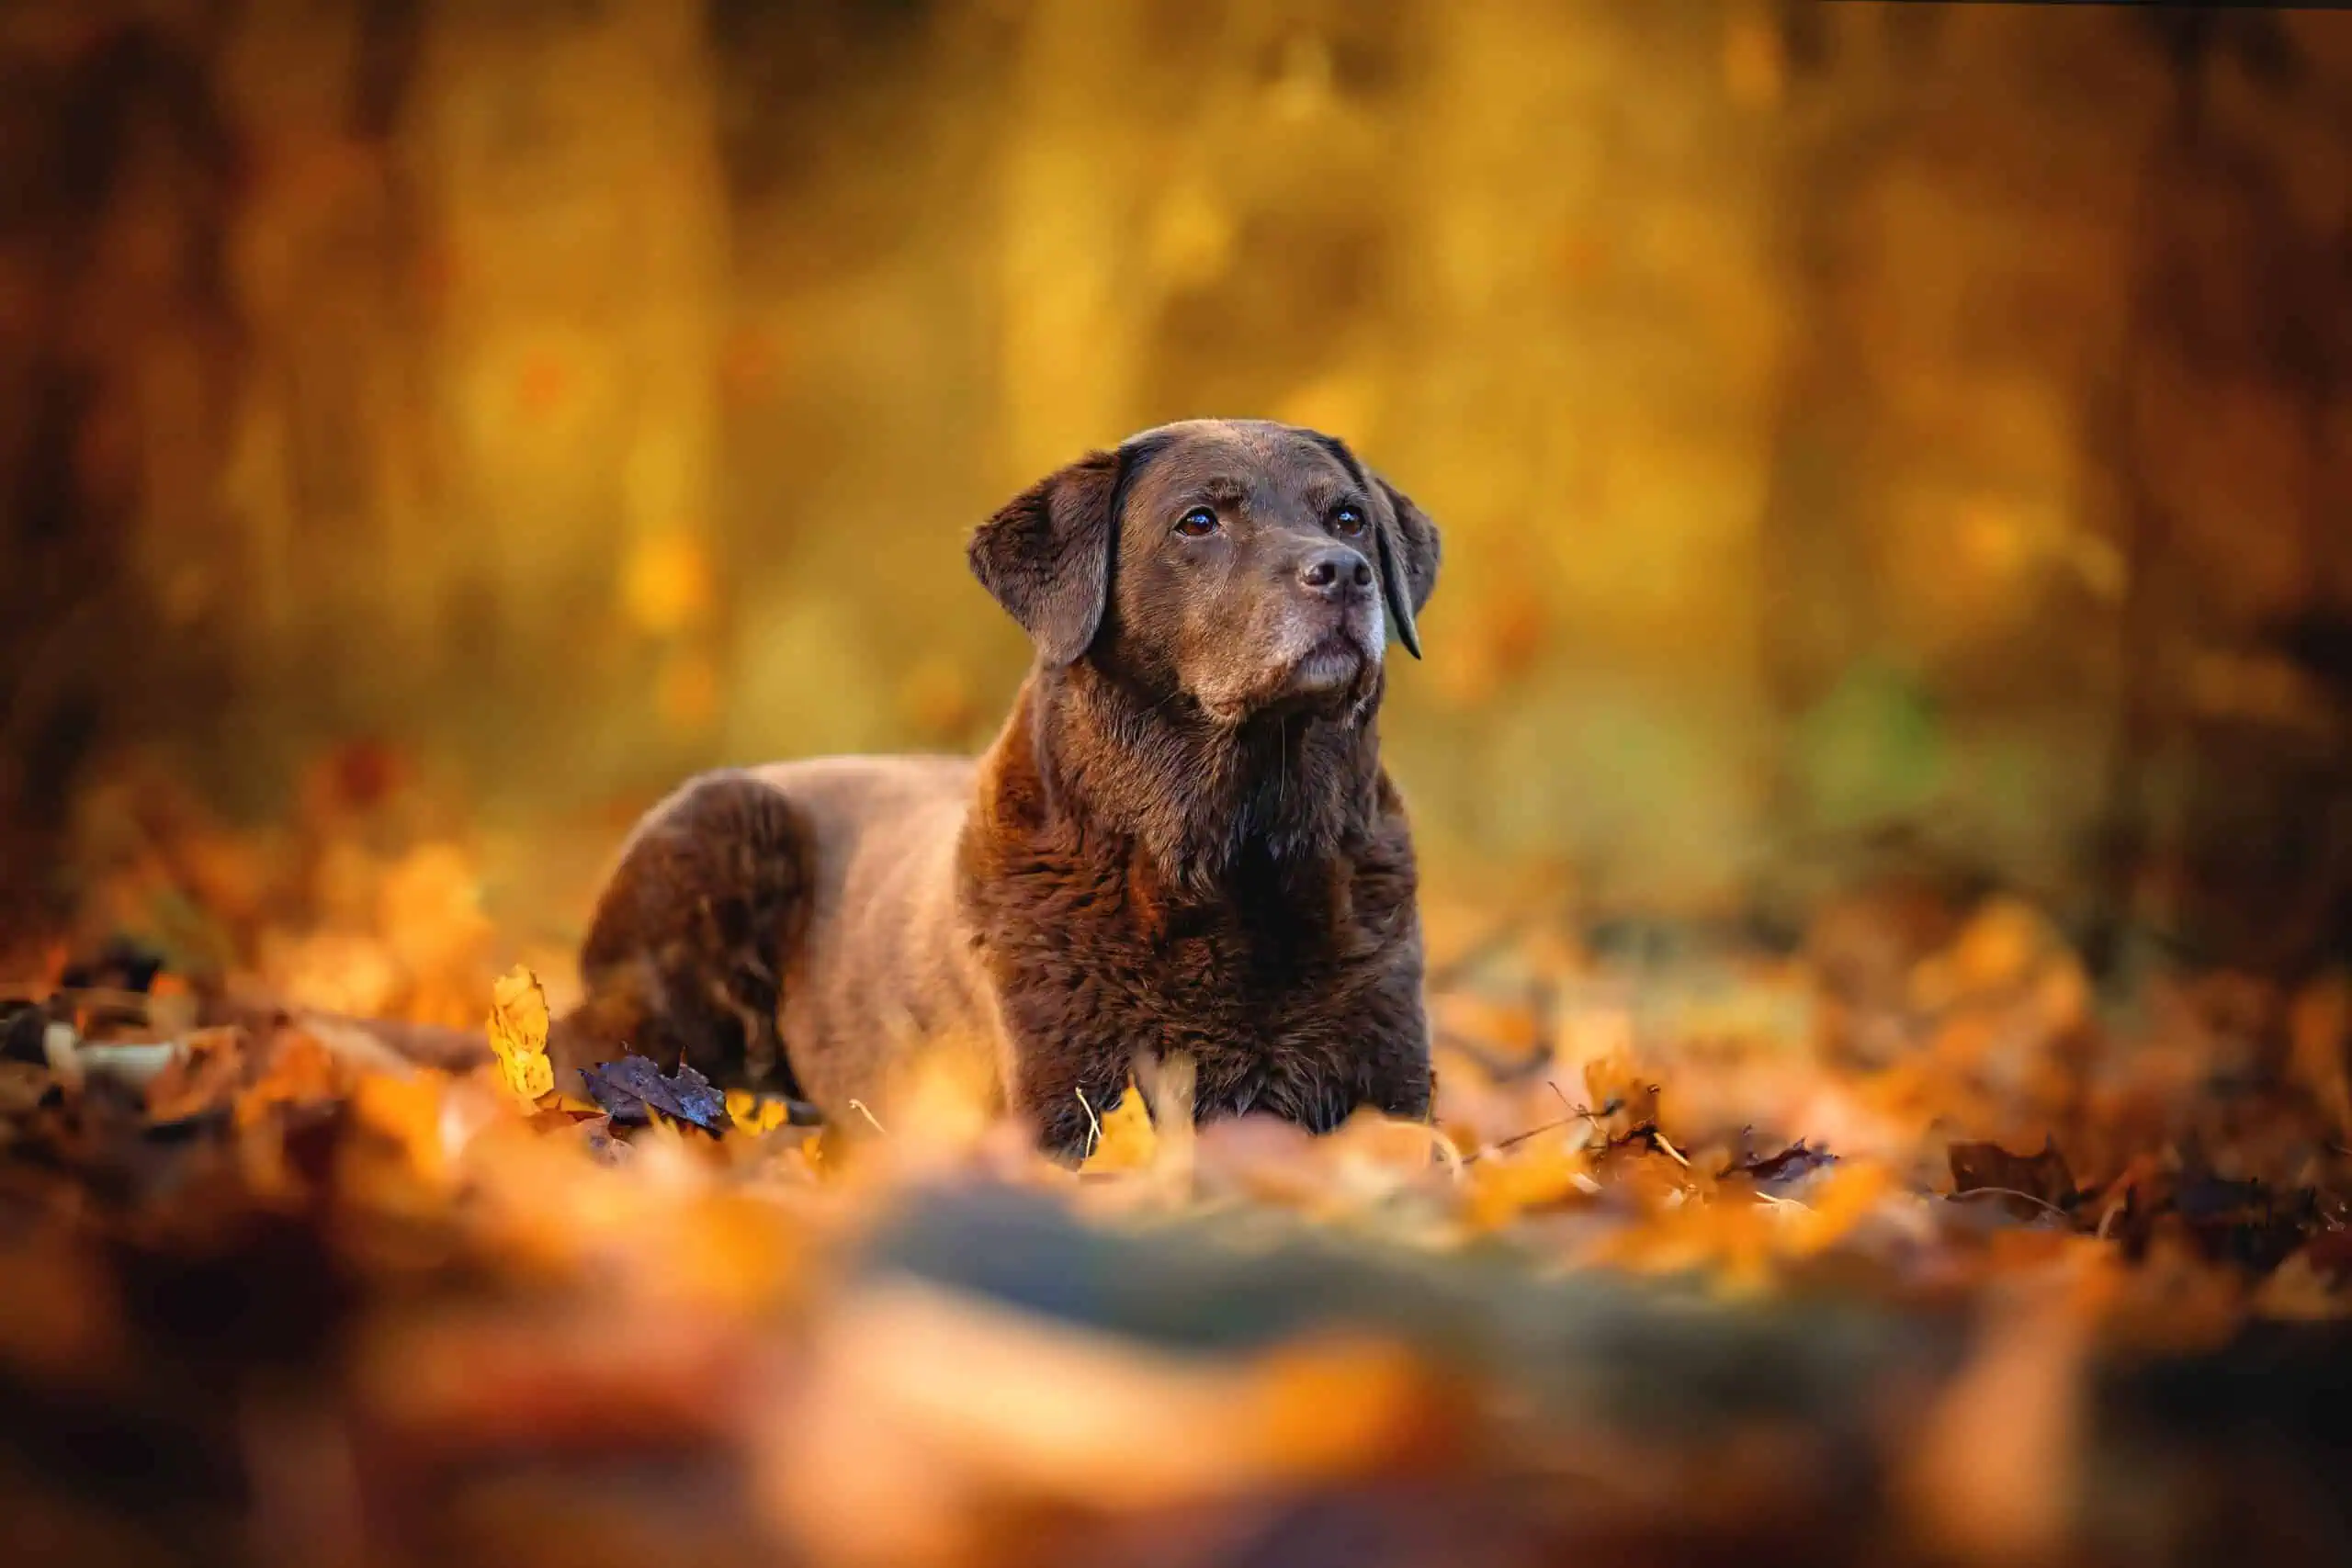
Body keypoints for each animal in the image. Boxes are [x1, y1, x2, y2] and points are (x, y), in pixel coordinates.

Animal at [560, 415, 1439, 1152]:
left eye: (1349, 518)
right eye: (1199, 521)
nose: (1345, 572)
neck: (1236, 858)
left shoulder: (1394, 1087)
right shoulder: (1067, 1105)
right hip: (716, 827)